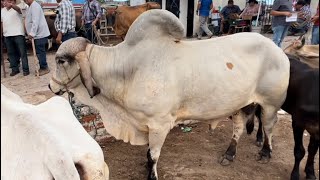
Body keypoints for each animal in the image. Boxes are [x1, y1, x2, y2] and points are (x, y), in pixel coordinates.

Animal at [48, 9, 292, 179]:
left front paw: (151, 174)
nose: (51, 86)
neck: (128, 70)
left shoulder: (160, 123)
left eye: (61, 61)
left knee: (269, 127)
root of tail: (278, 50)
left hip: (270, 103)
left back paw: (265, 153)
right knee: (239, 128)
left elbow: (153, 154)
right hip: (240, 105)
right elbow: (148, 153)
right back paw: (229, 154)